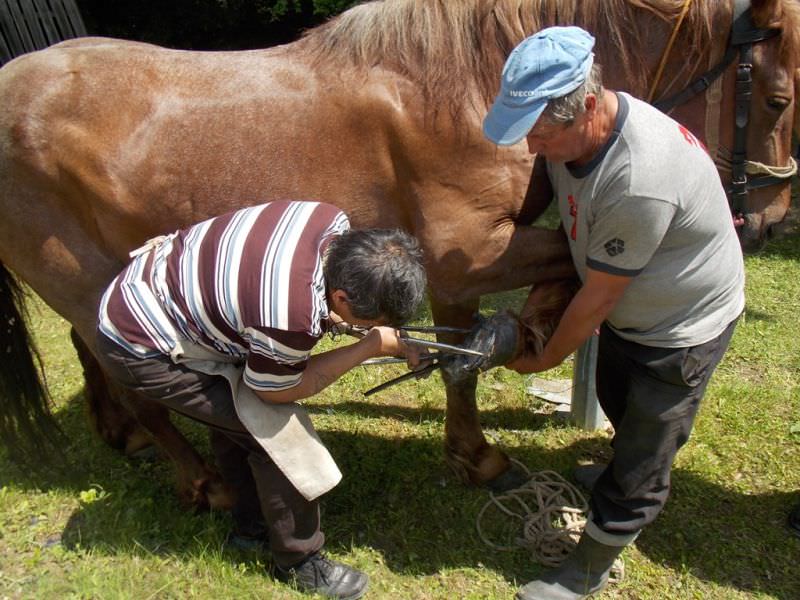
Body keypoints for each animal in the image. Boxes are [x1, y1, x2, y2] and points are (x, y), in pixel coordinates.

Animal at [0, 0, 796, 506]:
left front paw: (477, 447)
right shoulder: (466, 256)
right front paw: (524, 352)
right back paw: (204, 483)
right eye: (780, 100)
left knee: (92, 350)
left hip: (102, 277)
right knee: (131, 375)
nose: (769, 220)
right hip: (82, 281)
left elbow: (462, 364)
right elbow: (564, 272)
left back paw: (122, 436)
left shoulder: (458, 275)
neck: (464, 85)